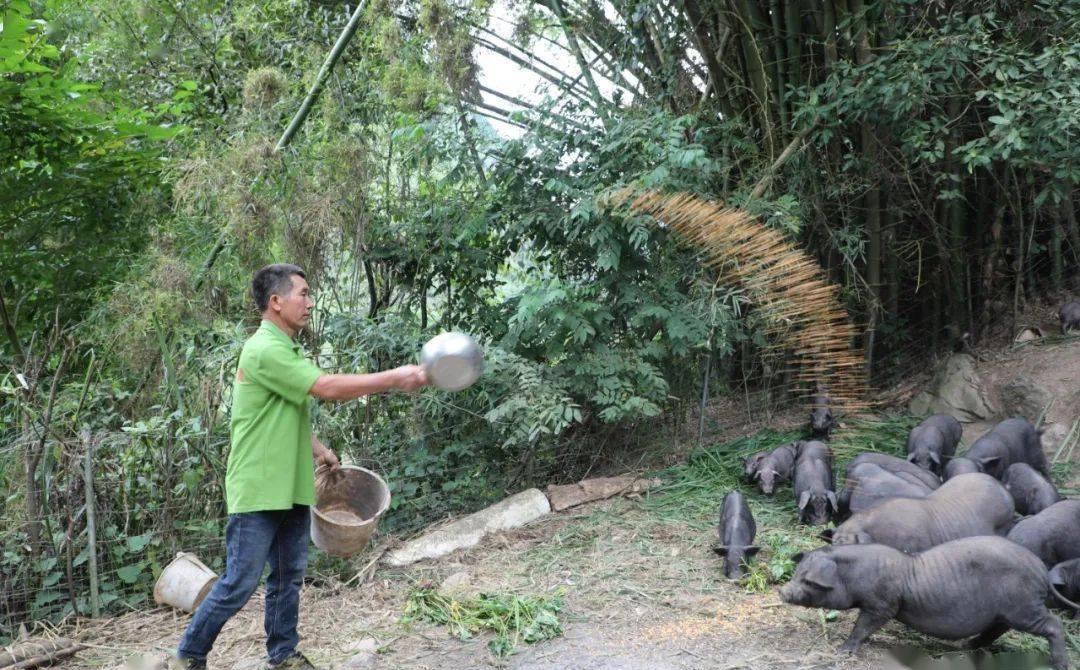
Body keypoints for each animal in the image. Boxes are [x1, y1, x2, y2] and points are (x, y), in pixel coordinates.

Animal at [777, 533, 1071, 670]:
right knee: (997, 628)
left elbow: (862, 626)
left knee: (1054, 625)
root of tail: (1041, 569)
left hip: (1023, 607)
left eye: (809, 581)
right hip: (1007, 611)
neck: (854, 575)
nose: (782, 591)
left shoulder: (883, 604)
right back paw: (967, 645)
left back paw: (1059, 664)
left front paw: (842, 651)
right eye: (797, 572)